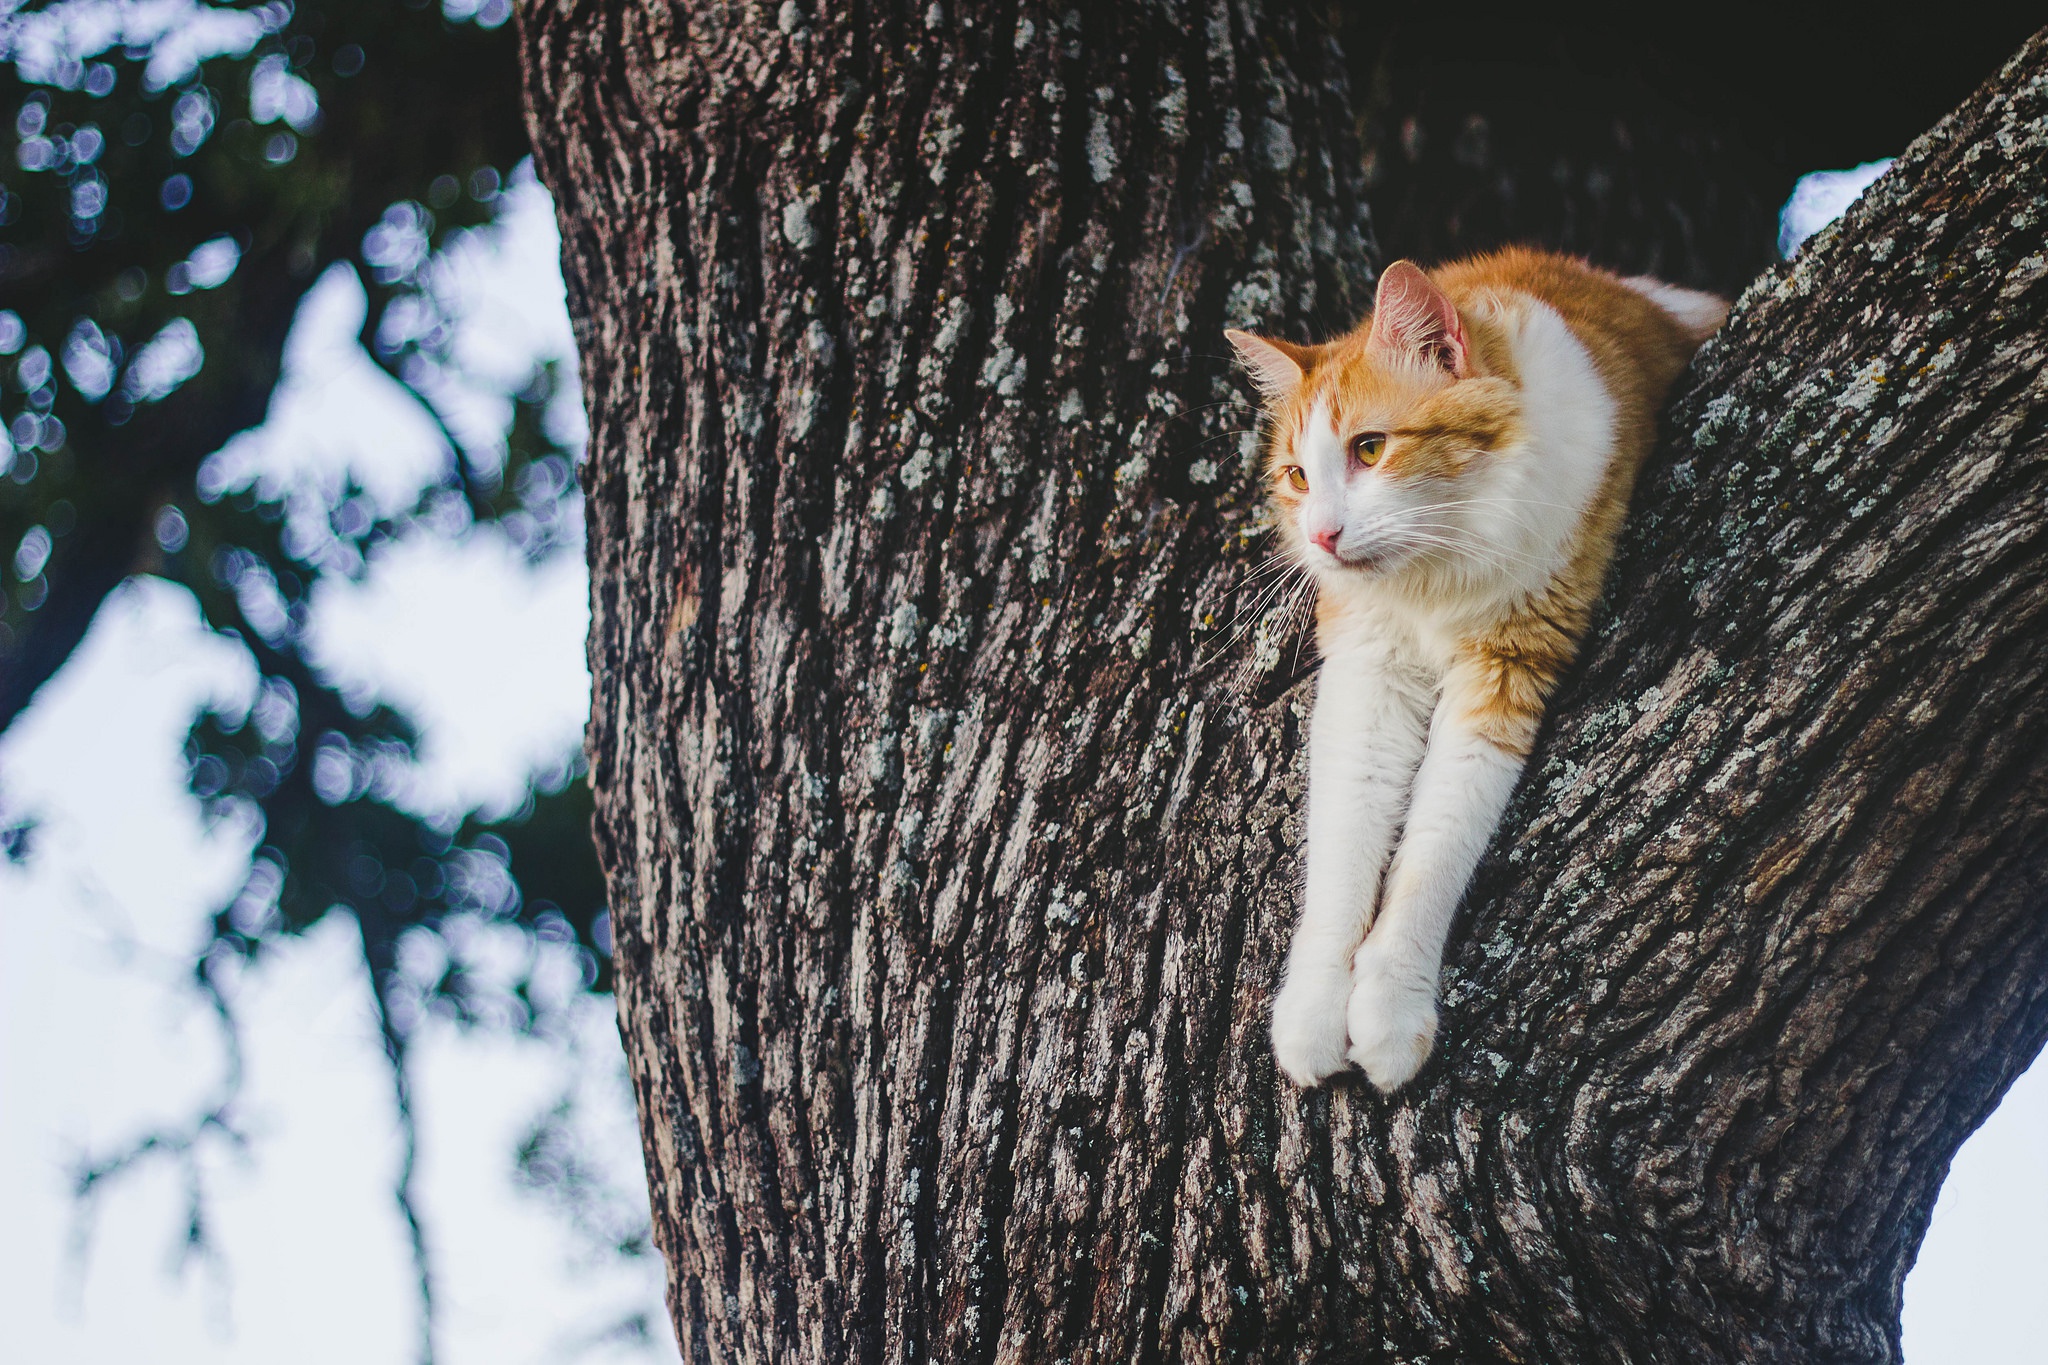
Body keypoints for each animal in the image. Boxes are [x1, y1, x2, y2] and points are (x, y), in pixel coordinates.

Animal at [1228, 248, 1728, 1088]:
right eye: (1298, 476)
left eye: (1370, 449)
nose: (1323, 534)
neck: (1436, 573)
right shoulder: (1366, 676)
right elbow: (1344, 848)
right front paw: (1314, 1007)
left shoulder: (1508, 668)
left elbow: (1435, 847)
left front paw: (1391, 1008)